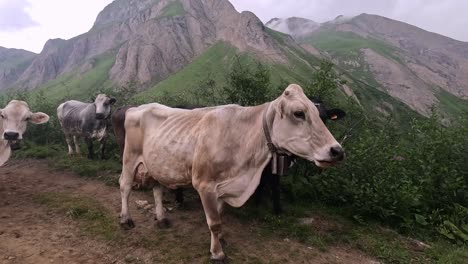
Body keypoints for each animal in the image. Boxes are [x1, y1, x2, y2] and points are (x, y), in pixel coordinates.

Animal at [119, 84, 346, 262]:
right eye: (299, 113)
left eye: (322, 115)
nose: (337, 151)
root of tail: (140, 106)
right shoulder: (205, 184)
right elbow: (214, 221)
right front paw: (217, 253)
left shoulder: (223, 185)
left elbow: (219, 216)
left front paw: (221, 240)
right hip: (130, 156)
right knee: (125, 185)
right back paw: (125, 220)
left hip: (156, 163)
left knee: (157, 188)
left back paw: (161, 218)